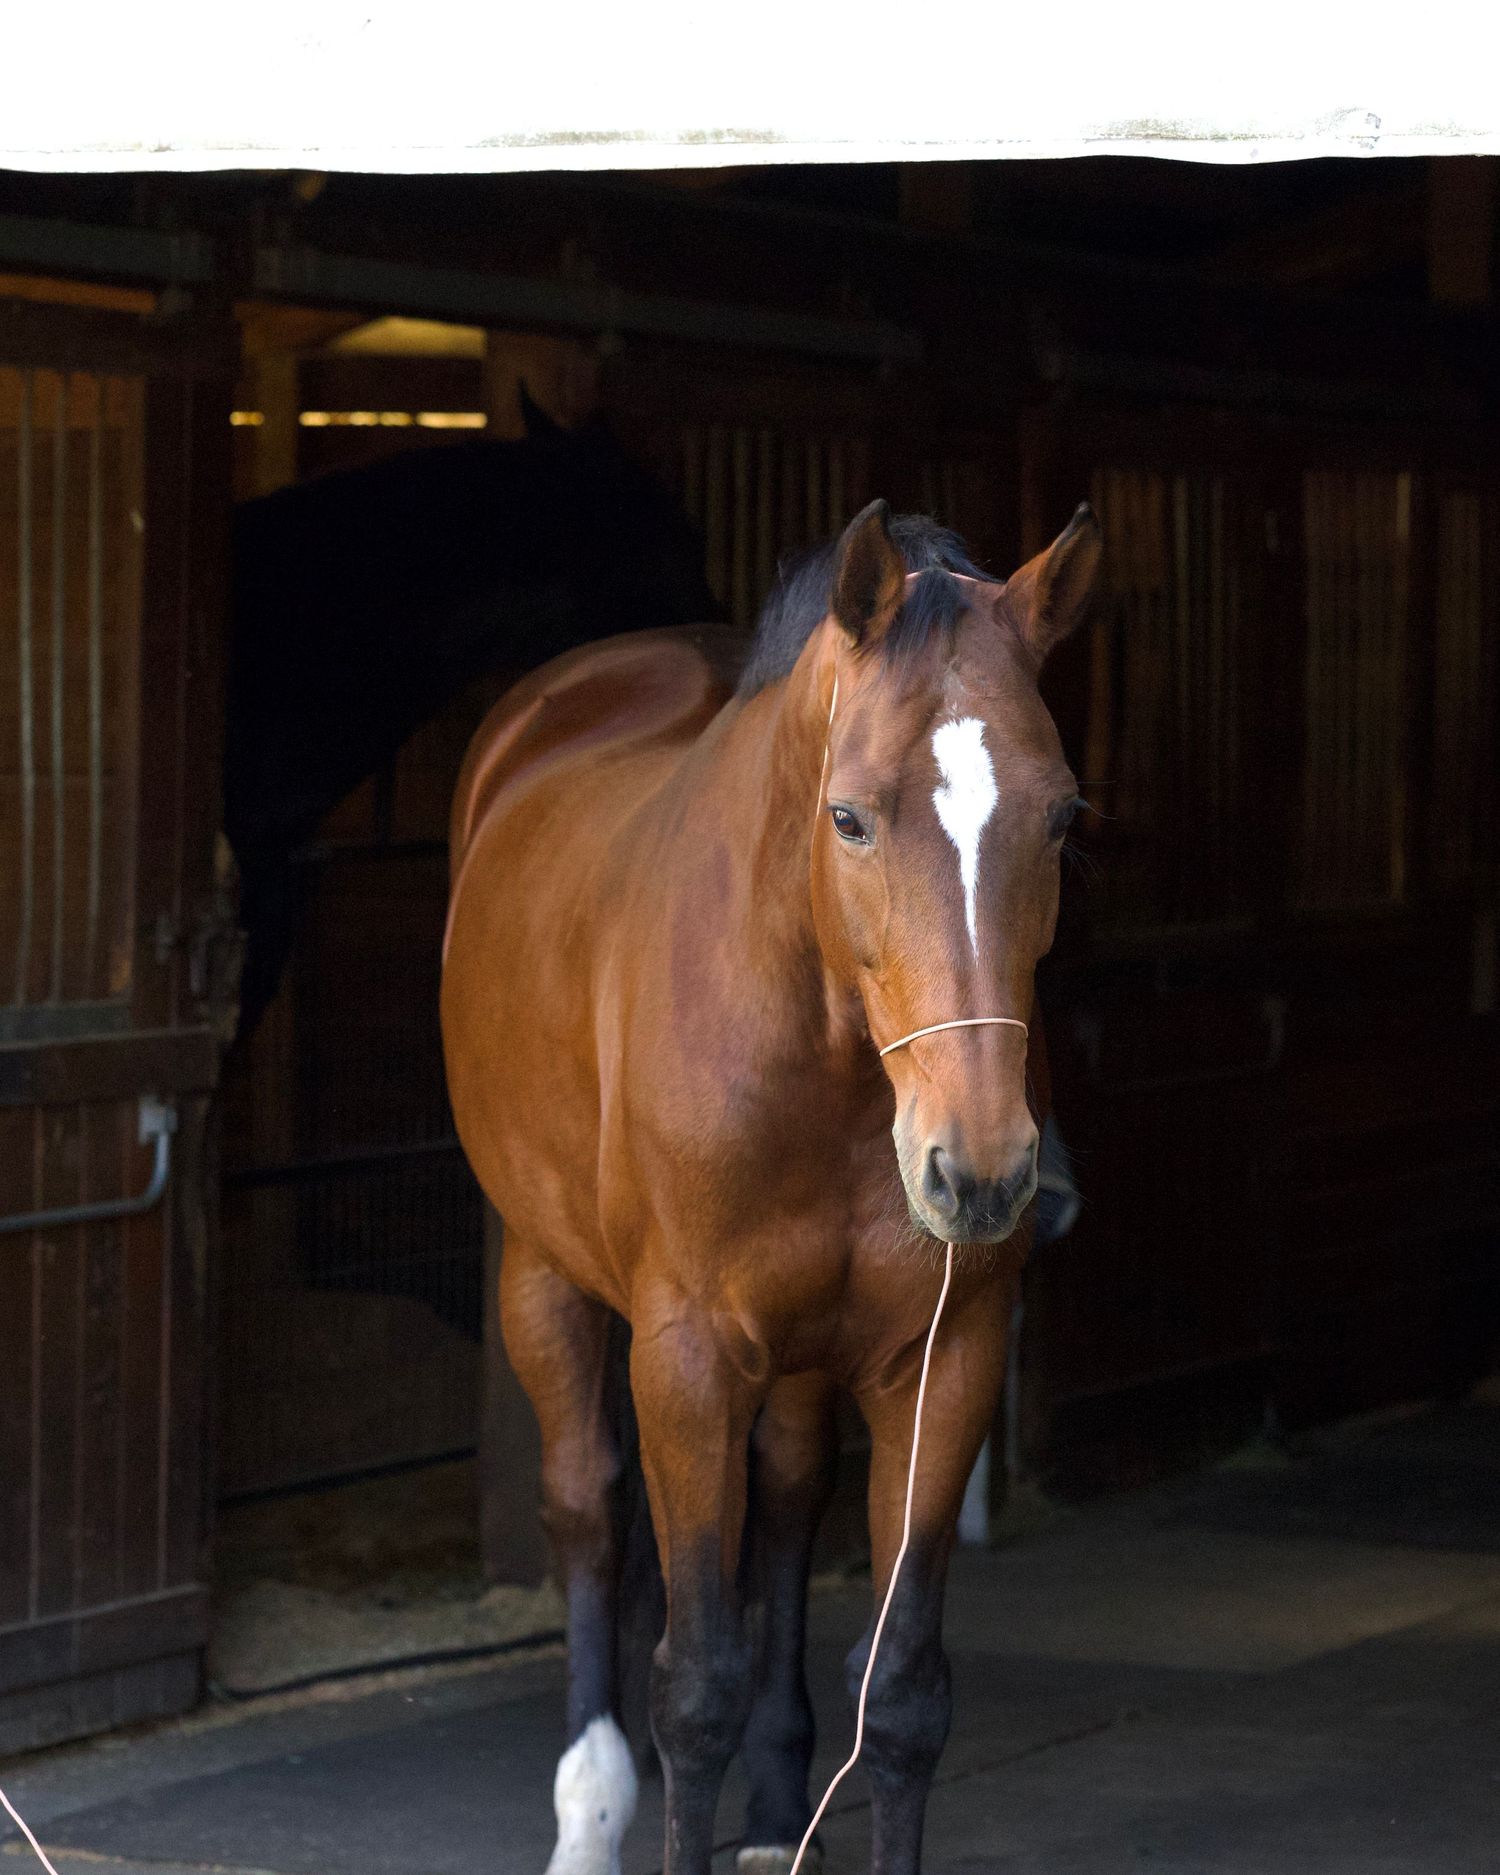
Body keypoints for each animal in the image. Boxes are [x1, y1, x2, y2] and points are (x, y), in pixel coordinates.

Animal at [440, 496, 1103, 1875]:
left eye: (1063, 817)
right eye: (848, 816)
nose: (982, 1169)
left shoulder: (946, 1354)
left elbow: (902, 1695)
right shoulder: (687, 1361)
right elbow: (694, 1686)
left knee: (792, 1497)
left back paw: (781, 1796)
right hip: (543, 1276)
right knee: (587, 1506)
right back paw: (589, 1810)